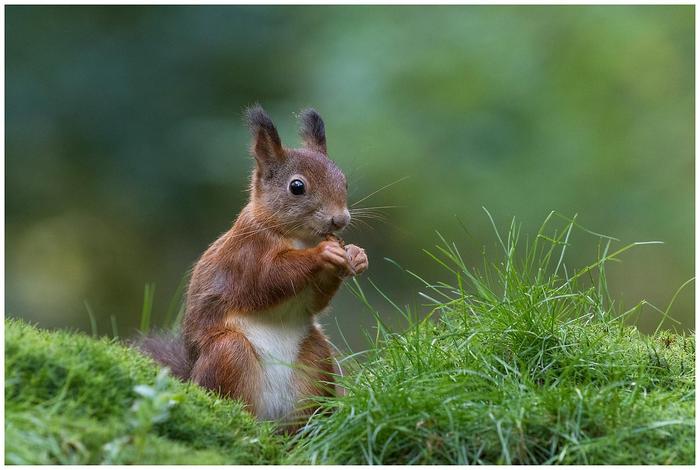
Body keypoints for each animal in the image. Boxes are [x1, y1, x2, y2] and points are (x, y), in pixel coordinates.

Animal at [143, 105, 372, 430]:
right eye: (297, 187)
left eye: (344, 181)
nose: (340, 220)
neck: (297, 238)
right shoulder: (245, 256)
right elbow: (268, 280)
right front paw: (323, 253)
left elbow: (315, 300)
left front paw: (356, 255)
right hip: (228, 353)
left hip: (315, 359)